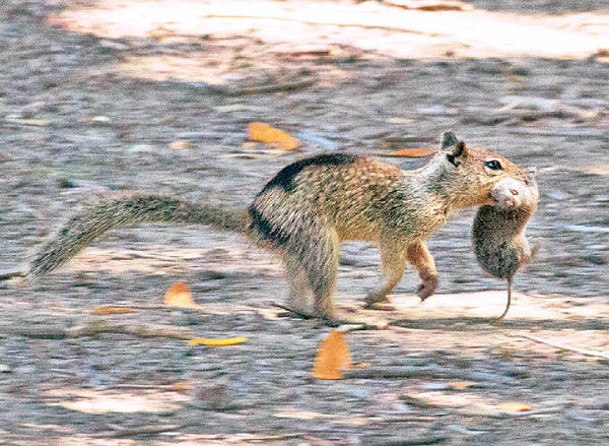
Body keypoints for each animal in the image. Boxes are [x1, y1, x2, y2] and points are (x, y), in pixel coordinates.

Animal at [3, 132, 528, 320]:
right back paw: (341, 314)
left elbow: (424, 259)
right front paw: (378, 294)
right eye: (493, 164)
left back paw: (298, 308)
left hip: (300, 249)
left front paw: (427, 286)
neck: (432, 190)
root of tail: (254, 218)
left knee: (296, 292)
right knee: (320, 297)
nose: (526, 178)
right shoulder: (397, 228)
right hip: (319, 242)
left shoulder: (415, 234)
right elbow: (395, 265)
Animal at [472, 168, 540, 320]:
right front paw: (530, 174)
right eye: (496, 199)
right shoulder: (530, 202)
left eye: (514, 191)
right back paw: (537, 245)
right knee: (527, 259)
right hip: (519, 247)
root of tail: (509, 274)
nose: (510, 202)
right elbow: (534, 192)